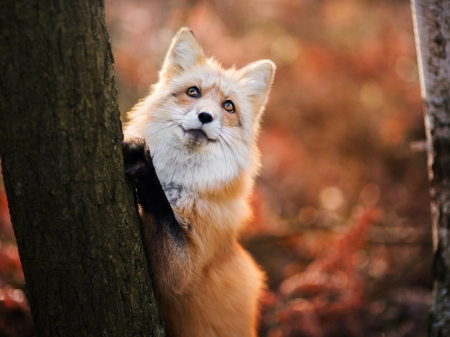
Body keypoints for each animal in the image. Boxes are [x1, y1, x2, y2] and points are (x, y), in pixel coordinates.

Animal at [123, 27, 276, 334]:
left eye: (228, 106)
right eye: (193, 91)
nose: (205, 116)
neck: (180, 187)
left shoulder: (183, 273)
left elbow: (164, 216)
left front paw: (145, 171)